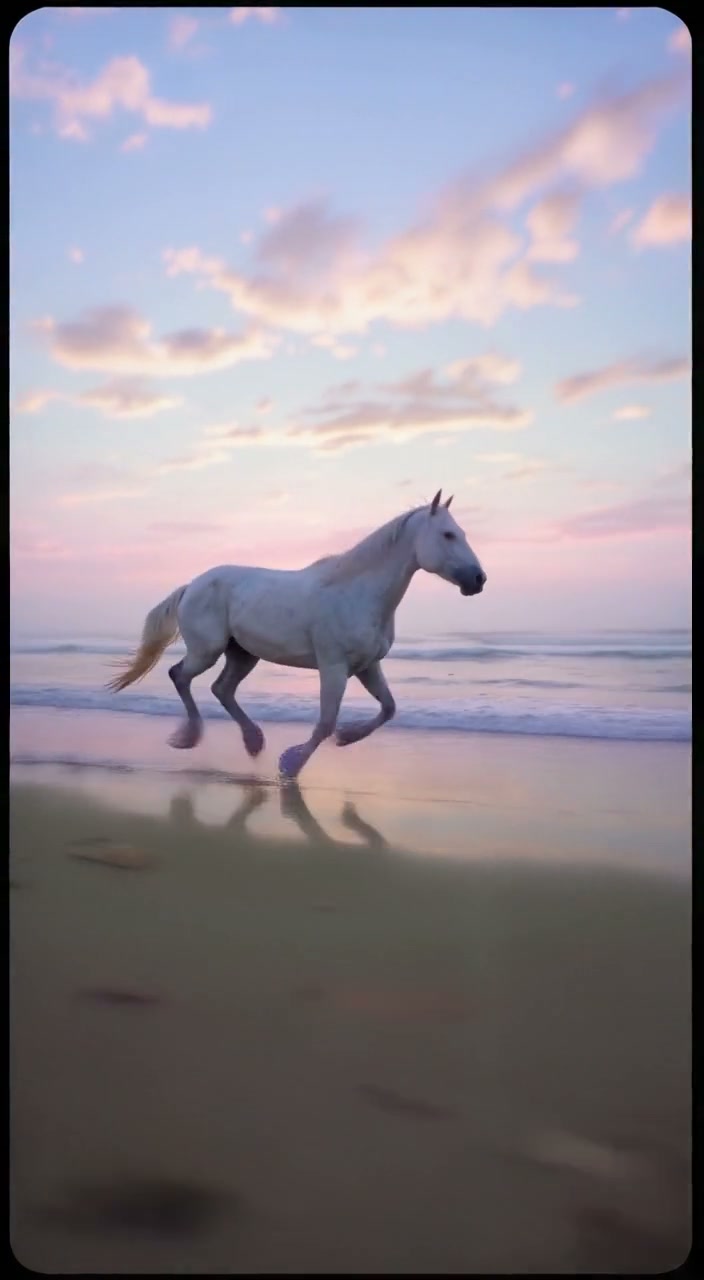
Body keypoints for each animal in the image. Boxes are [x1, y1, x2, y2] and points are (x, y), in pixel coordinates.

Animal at [107, 489, 486, 780]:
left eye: (463, 533)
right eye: (448, 535)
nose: (478, 579)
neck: (357, 592)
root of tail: (191, 586)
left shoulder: (367, 666)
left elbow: (388, 708)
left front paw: (347, 737)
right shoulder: (333, 667)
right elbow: (325, 723)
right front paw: (291, 765)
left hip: (243, 654)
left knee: (221, 689)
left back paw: (253, 741)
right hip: (207, 650)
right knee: (180, 676)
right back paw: (190, 737)